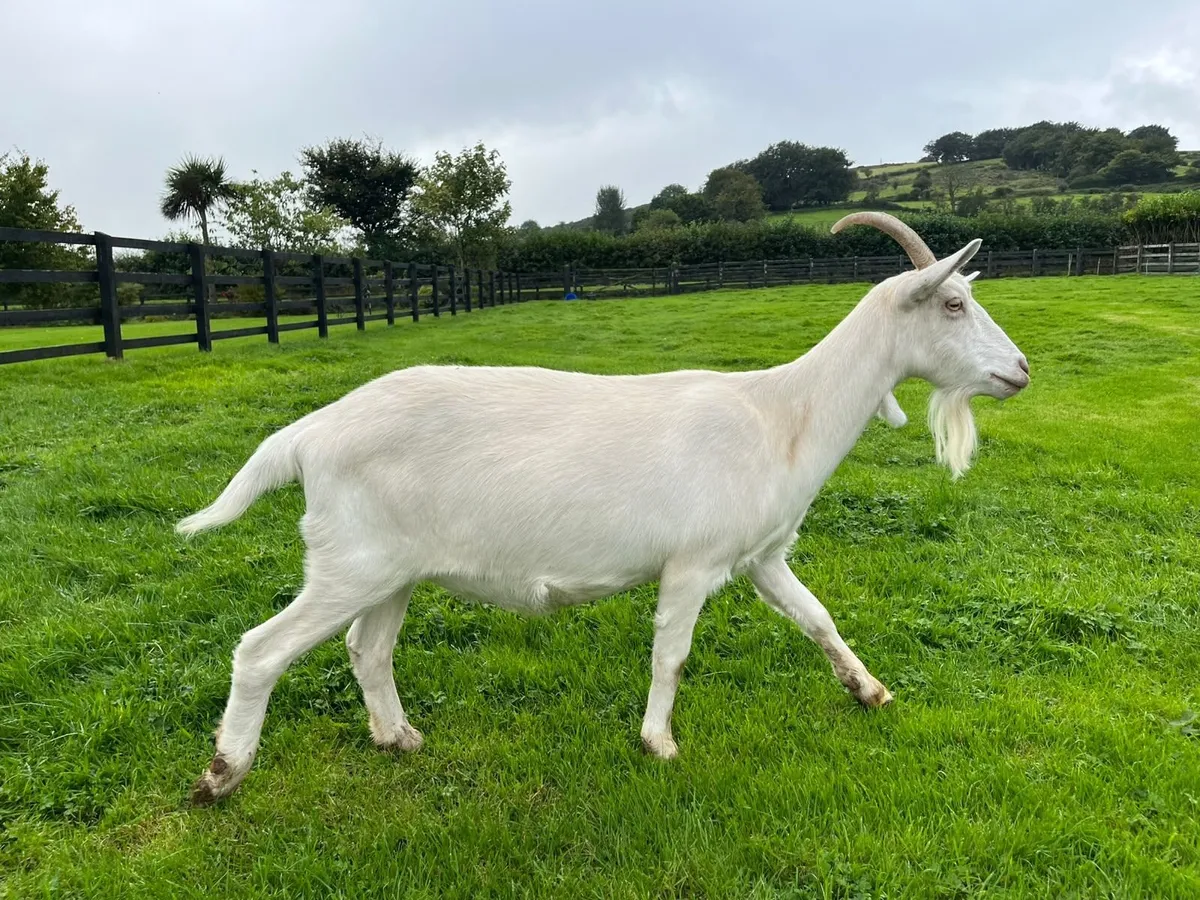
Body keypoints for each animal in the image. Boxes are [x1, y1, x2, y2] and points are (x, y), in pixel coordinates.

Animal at [178, 213, 1029, 804]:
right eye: (954, 303)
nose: (1019, 370)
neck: (780, 414)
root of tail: (310, 433)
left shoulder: (761, 556)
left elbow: (818, 616)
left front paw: (871, 691)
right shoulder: (693, 564)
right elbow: (671, 654)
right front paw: (659, 744)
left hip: (392, 570)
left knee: (368, 648)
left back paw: (400, 738)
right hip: (350, 563)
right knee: (261, 649)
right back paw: (222, 775)